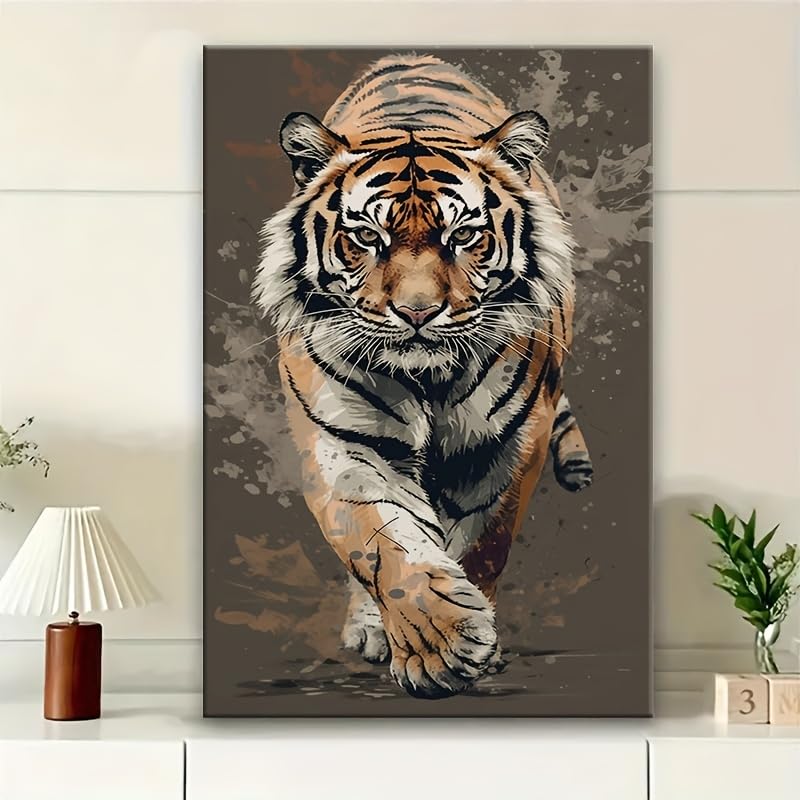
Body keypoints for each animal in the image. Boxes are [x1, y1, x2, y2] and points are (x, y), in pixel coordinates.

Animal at [254, 54, 593, 699]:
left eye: (463, 236)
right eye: (367, 236)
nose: (416, 312)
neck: (428, 380)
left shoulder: (508, 444)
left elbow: (481, 542)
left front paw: (472, 646)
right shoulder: (344, 440)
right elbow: (383, 545)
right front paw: (440, 647)